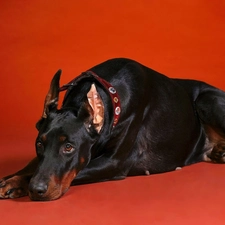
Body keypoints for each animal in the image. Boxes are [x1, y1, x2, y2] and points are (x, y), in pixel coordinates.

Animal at [0, 58, 225, 200]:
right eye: (39, 143)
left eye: (69, 147)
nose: (36, 190)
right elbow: (34, 164)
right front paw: (10, 179)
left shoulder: (113, 163)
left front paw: (18, 183)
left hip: (207, 99)